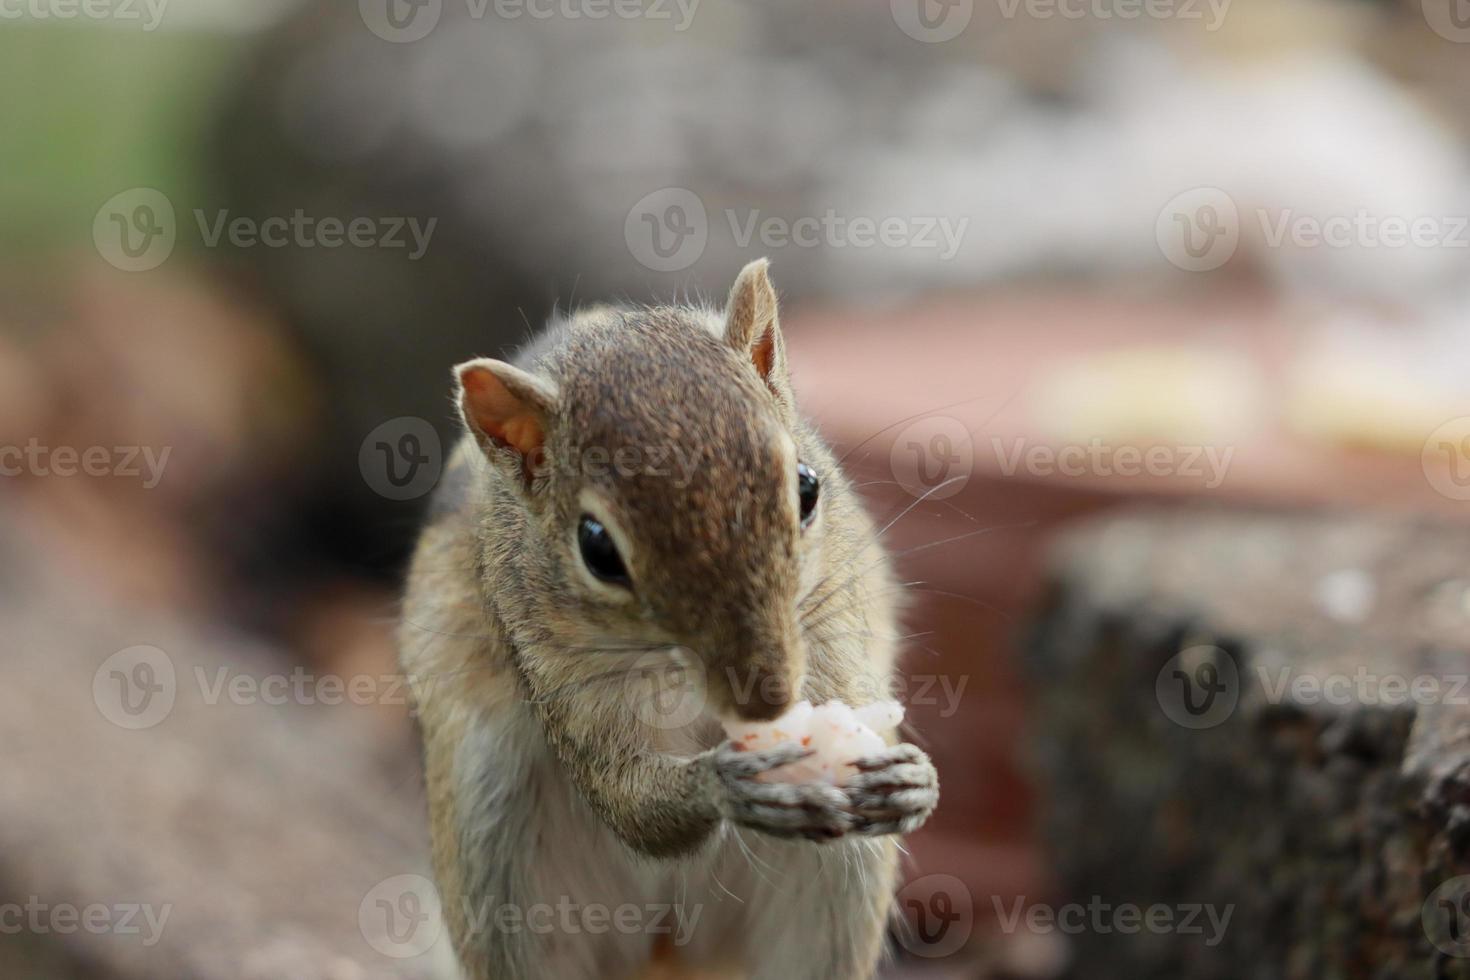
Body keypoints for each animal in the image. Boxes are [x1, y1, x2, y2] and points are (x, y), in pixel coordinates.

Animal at [396, 257, 934, 975]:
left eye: (808, 487)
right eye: (597, 548)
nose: (768, 701)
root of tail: (671, 947)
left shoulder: (831, 626)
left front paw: (914, 777)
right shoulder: (556, 677)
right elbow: (628, 805)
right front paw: (723, 784)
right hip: (497, 855)